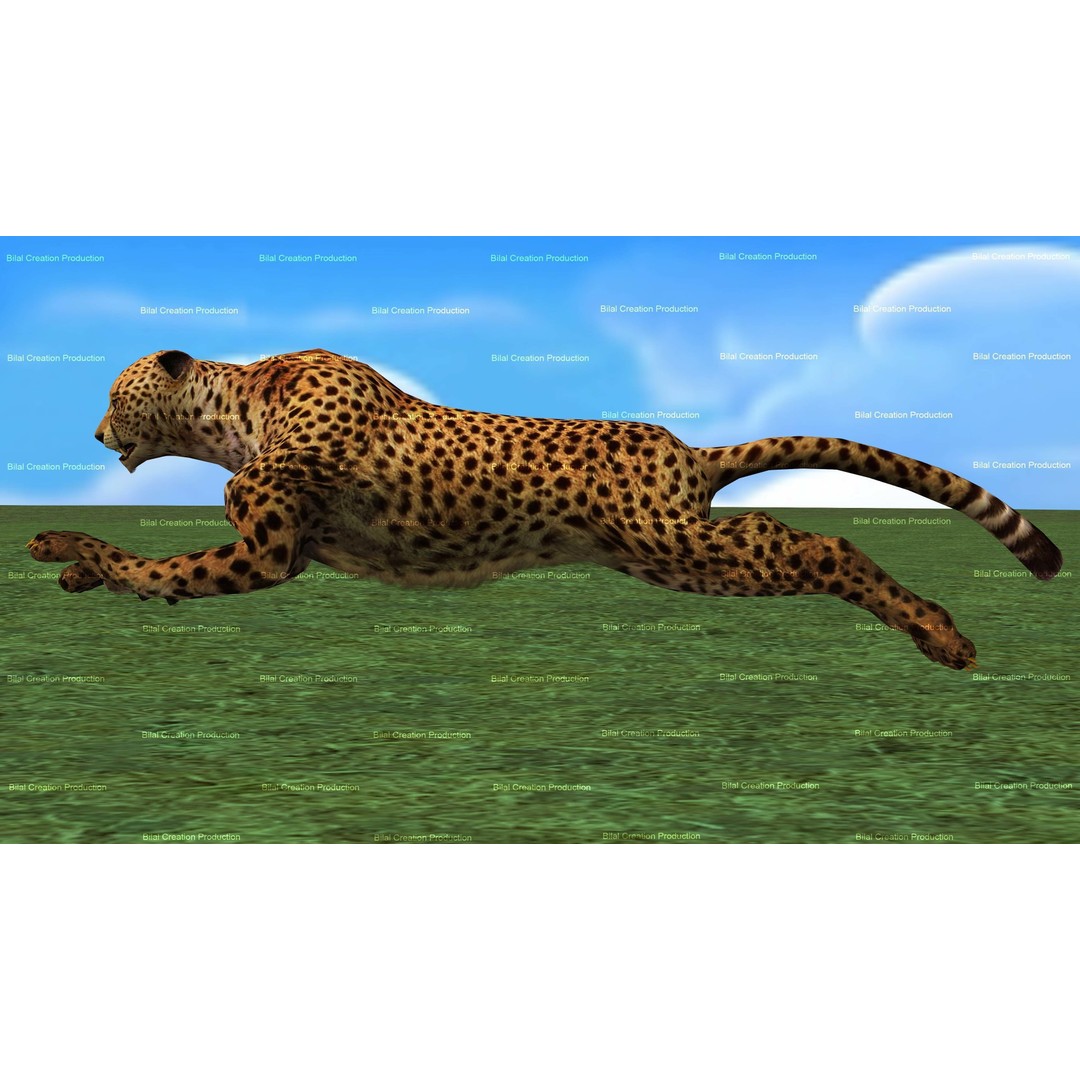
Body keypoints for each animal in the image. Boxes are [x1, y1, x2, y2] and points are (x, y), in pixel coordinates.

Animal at [27, 348, 1063, 669]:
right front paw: (73, 558)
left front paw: (70, 548)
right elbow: (154, 568)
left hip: (681, 543)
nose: (93, 430)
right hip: (669, 555)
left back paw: (940, 634)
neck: (235, 409)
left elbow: (161, 570)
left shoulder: (269, 549)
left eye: (116, 393)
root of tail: (683, 448)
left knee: (815, 544)